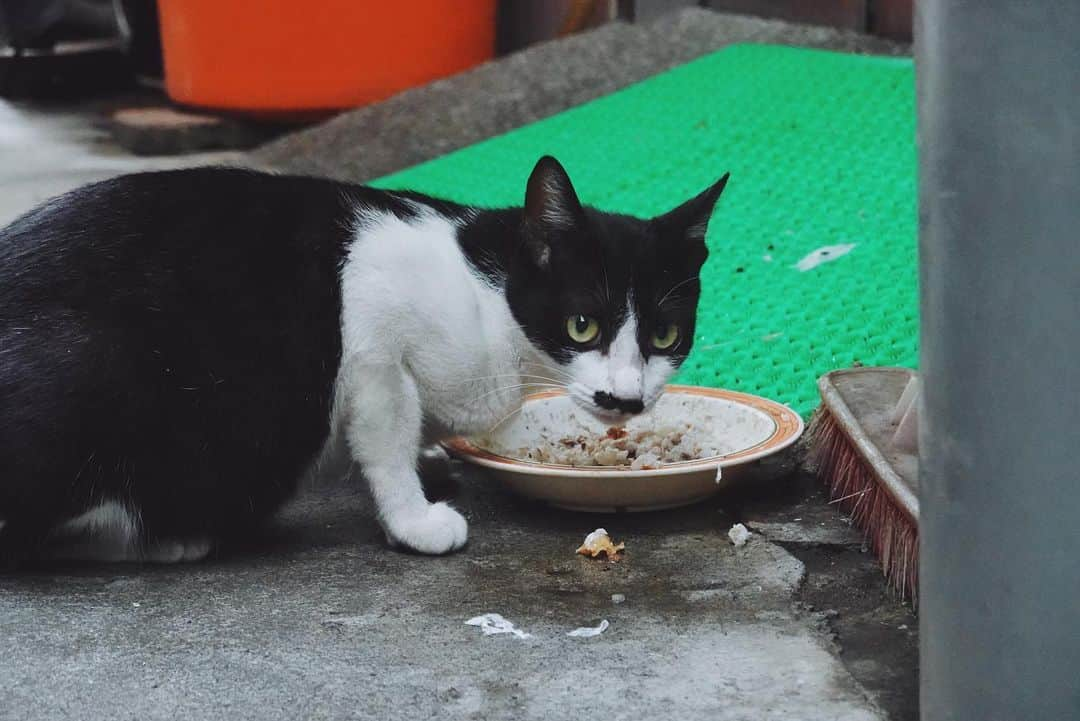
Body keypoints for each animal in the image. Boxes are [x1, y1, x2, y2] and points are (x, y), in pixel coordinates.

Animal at [0, 156, 730, 561]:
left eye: (665, 337)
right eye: (583, 325)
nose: (624, 398)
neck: (492, 306)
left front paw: (431, 460)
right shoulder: (374, 334)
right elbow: (387, 433)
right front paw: (413, 520)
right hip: (94, 366)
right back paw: (168, 537)